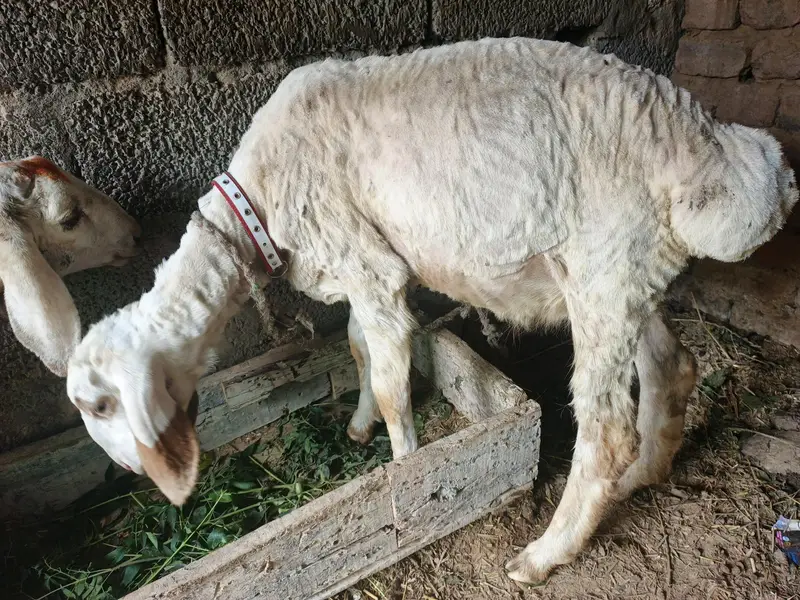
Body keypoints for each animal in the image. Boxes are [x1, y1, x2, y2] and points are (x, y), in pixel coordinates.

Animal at [65, 37, 798, 582]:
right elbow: (361, 349)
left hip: (606, 266)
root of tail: (714, 150)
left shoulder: (366, 261)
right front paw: (359, 428)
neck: (258, 207)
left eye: (99, 405)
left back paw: (545, 554)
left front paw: (406, 471)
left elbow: (393, 385)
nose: (131, 475)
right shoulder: (366, 265)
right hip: (629, 273)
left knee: (607, 430)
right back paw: (644, 475)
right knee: (674, 367)